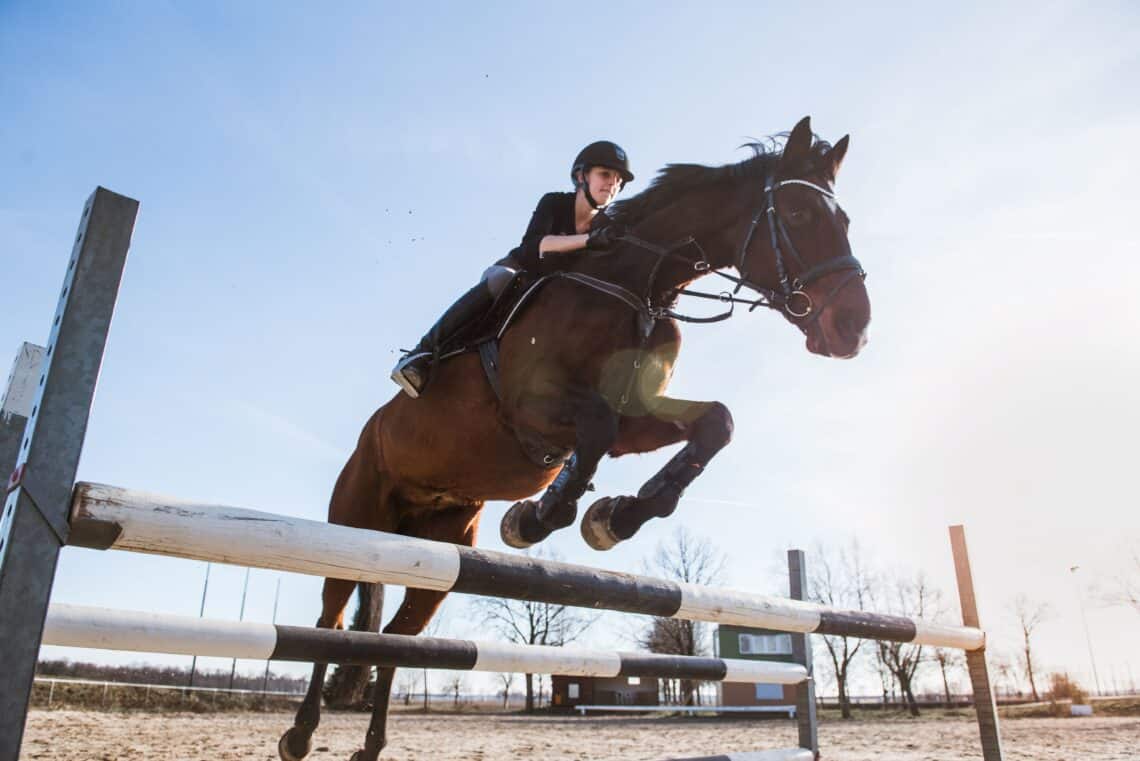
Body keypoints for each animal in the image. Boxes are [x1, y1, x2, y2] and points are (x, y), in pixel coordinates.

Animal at [278, 114, 870, 761]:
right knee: (330, 622)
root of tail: (369, 437)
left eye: (843, 220)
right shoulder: (533, 409)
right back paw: (300, 734)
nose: (854, 329)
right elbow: (595, 431)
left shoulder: (638, 415)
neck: (636, 284)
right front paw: (540, 517)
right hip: (355, 521)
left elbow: (714, 423)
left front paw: (615, 516)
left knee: (396, 639)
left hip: (439, 550)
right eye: (798, 216)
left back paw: (371, 745)